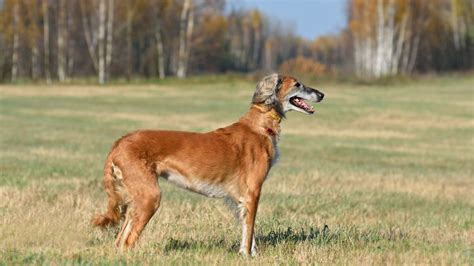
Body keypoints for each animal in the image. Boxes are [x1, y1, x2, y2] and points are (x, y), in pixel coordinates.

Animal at [93, 72, 326, 256]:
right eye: (298, 84)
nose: (322, 95)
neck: (259, 126)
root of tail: (120, 142)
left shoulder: (238, 199)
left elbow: (247, 230)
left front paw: (252, 254)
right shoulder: (253, 192)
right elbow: (250, 229)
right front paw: (246, 255)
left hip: (137, 200)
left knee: (120, 239)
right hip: (150, 196)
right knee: (127, 241)